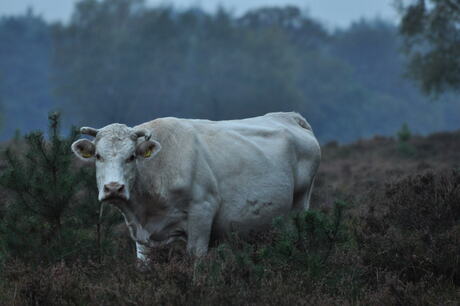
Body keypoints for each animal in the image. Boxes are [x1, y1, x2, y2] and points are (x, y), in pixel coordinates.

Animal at [71, 112, 320, 262]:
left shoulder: (202, 212)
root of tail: (289, 117)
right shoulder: (141, 237)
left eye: (132, 156)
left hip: (298, 208)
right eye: (98, 156)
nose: (114, 188)